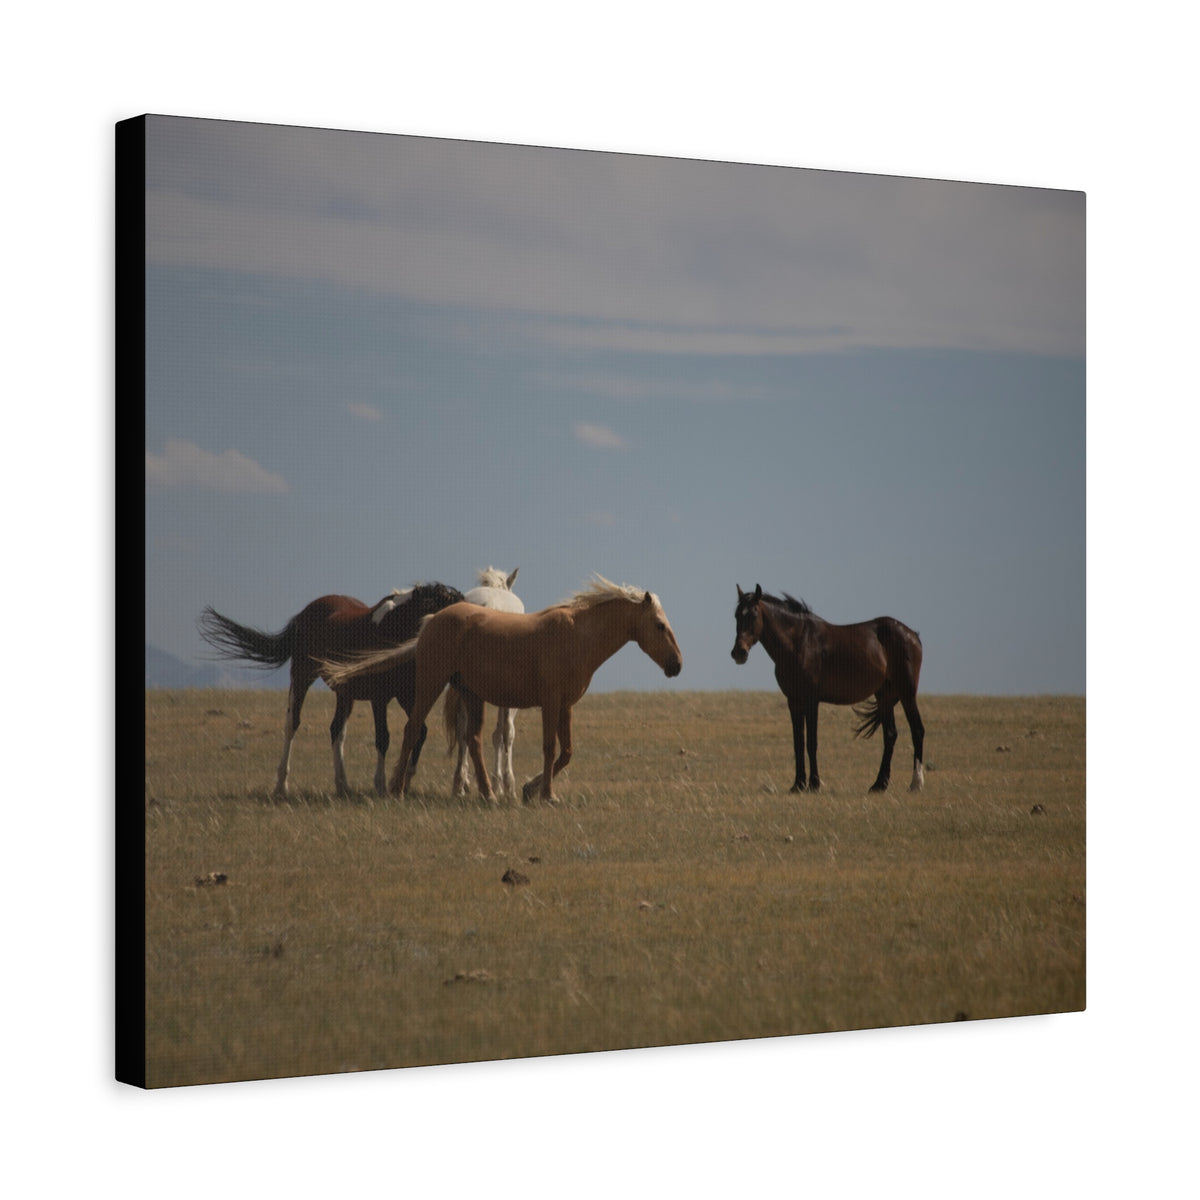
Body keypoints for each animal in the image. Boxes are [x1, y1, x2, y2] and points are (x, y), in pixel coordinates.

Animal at [197, 582, 465, 798]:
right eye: (449, 606)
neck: (390, 629)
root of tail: (305, 612)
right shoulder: (380, 699)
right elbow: (383, 738)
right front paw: (380, 785)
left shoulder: (406, 695)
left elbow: (419, 732)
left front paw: (403, 782)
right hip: (302, 677)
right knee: (292, 724)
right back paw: (281, 786)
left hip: (344, 693)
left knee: (337, 730)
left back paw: (343, 785)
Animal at [730, 584, 925, 793]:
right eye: (737, 615)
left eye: (753, 615)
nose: (739, 652)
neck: (799, 644)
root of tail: (913, 635)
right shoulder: (794, 701)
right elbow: (798, 742)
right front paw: (798, 784)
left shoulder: (811, 700)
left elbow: (811, 742)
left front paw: (814, 784)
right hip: (884, 696)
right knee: (890, 734)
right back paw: (879, 784)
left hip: (907, 693)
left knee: (917, 730)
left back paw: (916, 783)